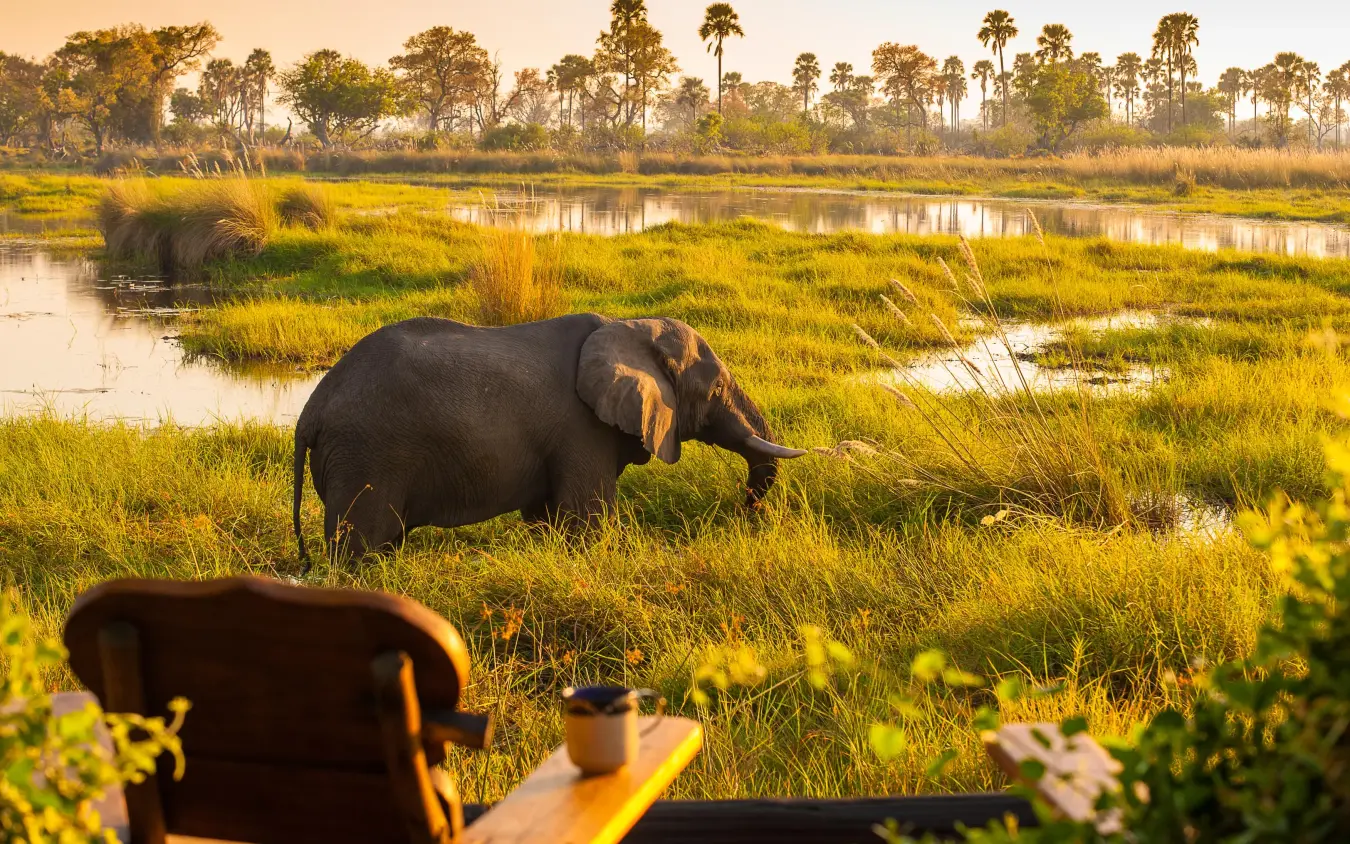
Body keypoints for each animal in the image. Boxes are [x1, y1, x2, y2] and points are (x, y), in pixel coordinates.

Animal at [292, 314, 807, 565]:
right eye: (715, 389)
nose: (746, 508)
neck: (629, 326)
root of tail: (311, 409)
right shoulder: (581, 428)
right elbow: (586, 519)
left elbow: (547, 517)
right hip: (366, 455)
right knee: (360, 550)